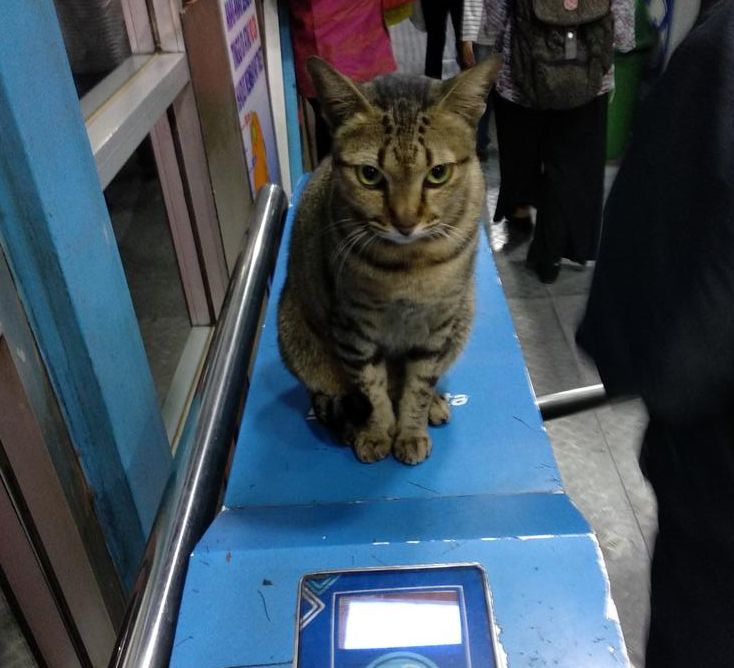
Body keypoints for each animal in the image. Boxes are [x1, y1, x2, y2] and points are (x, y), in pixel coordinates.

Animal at [278, 56, 504, 464]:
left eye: (438, 173)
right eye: (369, 175)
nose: (405, 222)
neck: (409, 263)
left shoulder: (436, 325)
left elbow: (417, 385)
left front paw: (411, 431)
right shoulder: (353, 326)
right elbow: (372, 387)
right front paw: (378, 432)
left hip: (462, 318)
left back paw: (434, 404)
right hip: (298, 339)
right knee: (337, 392)